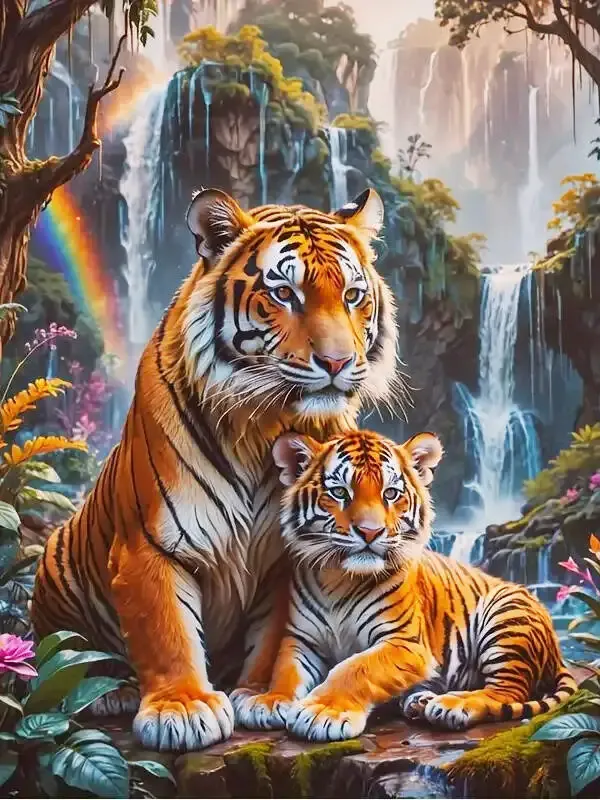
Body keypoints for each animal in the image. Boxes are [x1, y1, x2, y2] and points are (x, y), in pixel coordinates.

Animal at [31, 187, 400, 753]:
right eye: (286, 293)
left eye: (353, 295)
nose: (338, 363)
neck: (265, 425)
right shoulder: (149, 544)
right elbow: (166, 631)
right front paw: (182, 709)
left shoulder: (287, 555)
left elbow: (272, 633)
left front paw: (262, 696)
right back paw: (113, 692)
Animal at [231, 428, 577, 741]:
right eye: (340, 492)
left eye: (390, 493)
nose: (370, 532)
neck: (339, 578)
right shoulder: (301, 639)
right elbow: (285, 671)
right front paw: (268, 701)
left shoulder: (404, 643)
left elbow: (354, 668)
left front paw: (324, 712)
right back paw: (420, 701)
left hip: (505, 618)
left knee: (508, 691)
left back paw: (450, 706)